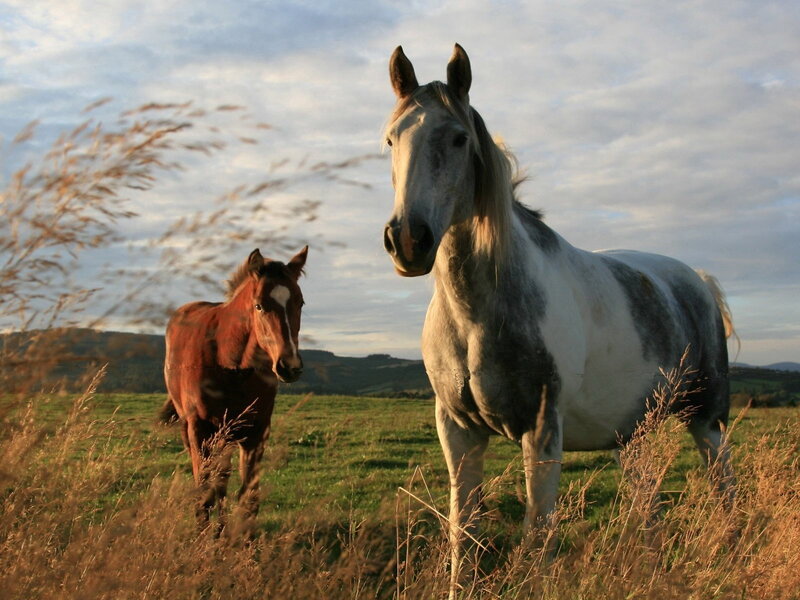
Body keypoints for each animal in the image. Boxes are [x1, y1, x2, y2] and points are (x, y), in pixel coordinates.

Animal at [162, 246, 307, 531]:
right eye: (258, 305)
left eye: (301, 302)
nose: (289, 366)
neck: (229, 363)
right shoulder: (200, 430)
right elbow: (204, 492)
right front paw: (204, 537)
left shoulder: (256, 431)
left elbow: (248, 498)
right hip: (193, 429)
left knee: (222, 477)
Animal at [382, 44, 736, 589]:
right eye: (390, 139)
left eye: (459, 138)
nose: (407, 240)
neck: (476, 316)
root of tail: (696, 280)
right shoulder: (458, 431)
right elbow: (464, 536)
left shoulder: (543, 431)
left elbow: (538, 537)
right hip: (633, 437)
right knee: (648, 506)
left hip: (708, 420)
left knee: (725, 493)